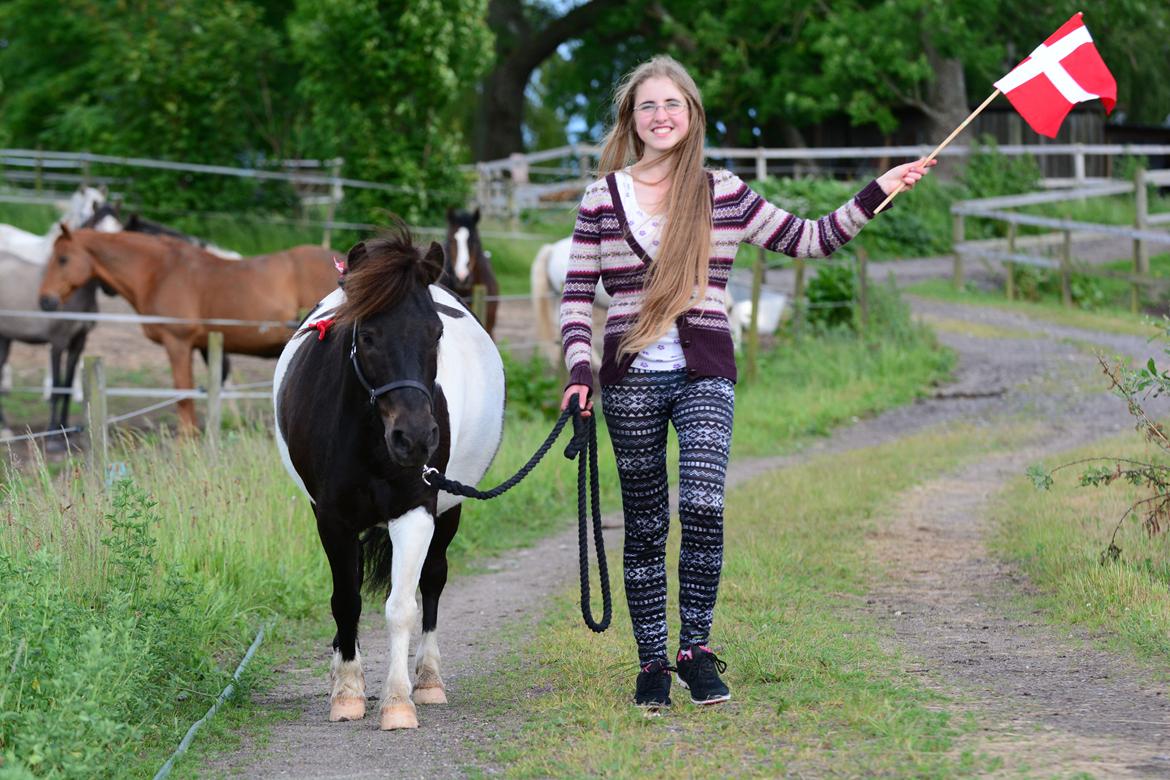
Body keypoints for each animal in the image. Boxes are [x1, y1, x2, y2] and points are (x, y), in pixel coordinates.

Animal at [36, 225, 339, 432]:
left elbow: (184, 396)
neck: (161, 273)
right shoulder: (203, 347)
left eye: (62, 259)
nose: (45, 300)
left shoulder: (178, 344)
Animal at [272, 225, 503, 734]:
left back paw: (429, 680)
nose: (414, 438)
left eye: (436, 333)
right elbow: (346, 600)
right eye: (369, 335)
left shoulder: (416, 511)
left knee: (433, 581)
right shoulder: (333, 519)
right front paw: (347, 691)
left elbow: (401, 608)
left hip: (449, 511)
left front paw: (398, 701)